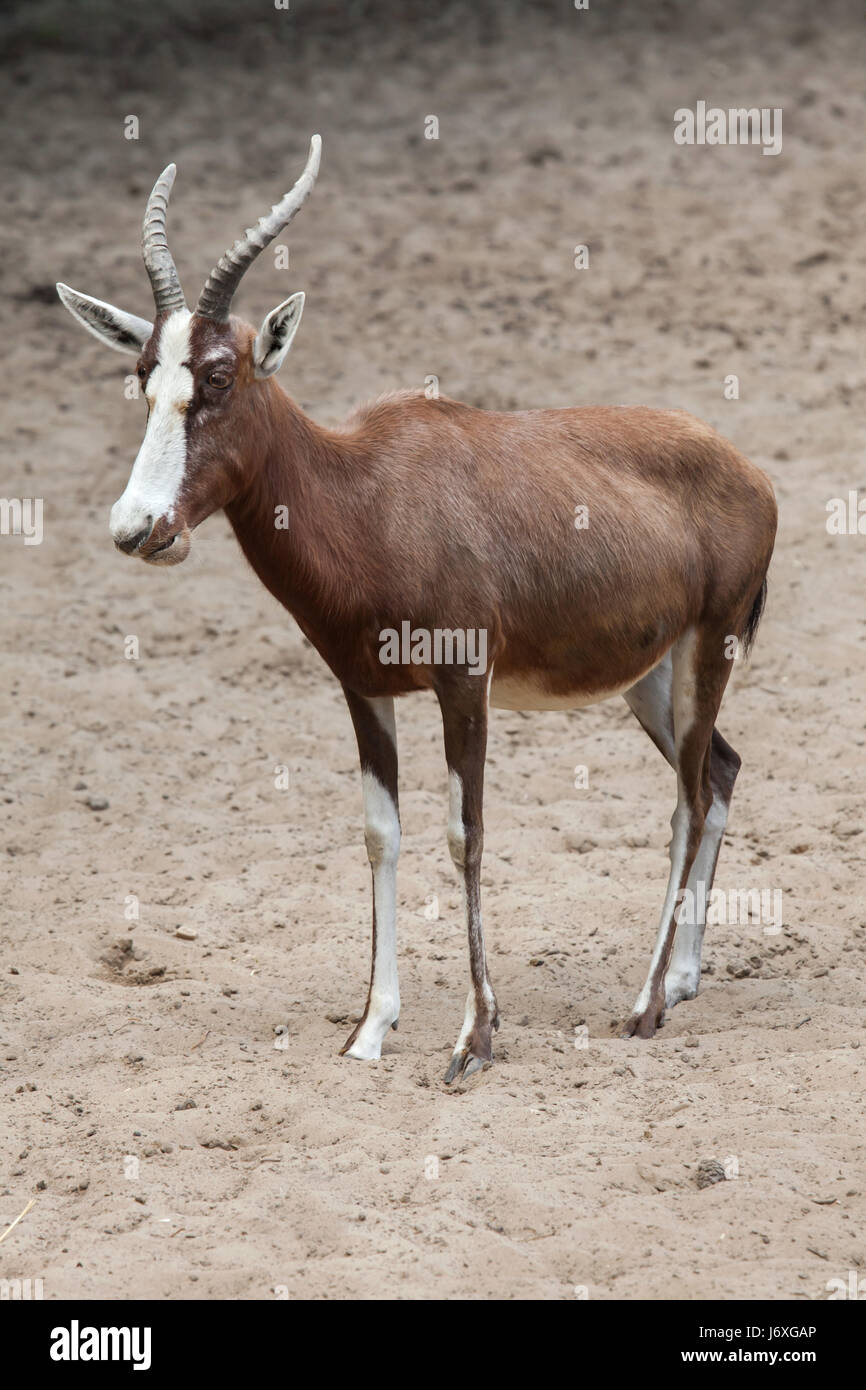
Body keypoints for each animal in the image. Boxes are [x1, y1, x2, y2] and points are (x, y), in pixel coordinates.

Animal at [57, 135, 778, 1078]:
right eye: (144, 374)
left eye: (218, 376)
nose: (139, 528)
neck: (370, 490)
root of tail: (751, 474)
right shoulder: (364, 692)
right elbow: (381, 833)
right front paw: (370, 1030)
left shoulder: (464, 685)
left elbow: (464, 831)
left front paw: (474, 1038)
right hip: (647, 678)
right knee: (720, 772)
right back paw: (686, 979)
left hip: (707, 649)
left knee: (687, 799)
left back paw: (644, 1006)